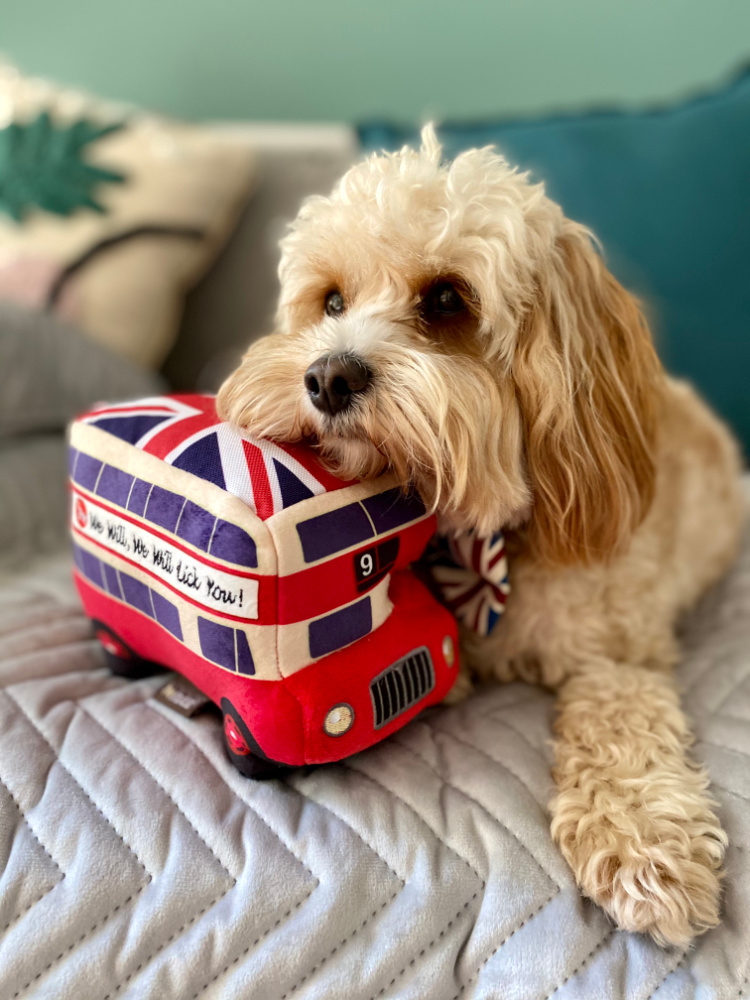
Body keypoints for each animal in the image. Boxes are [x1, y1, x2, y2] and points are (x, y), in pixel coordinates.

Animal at [217, 125, 748, 944]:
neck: (486, 548)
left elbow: (622, 733)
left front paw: (643, 846)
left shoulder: (620, 657)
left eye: (446, 300)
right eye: (331, 300)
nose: (328, 378)